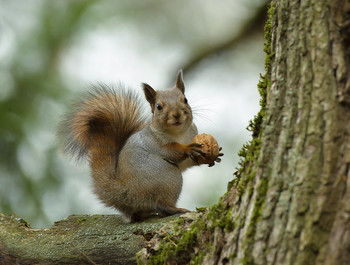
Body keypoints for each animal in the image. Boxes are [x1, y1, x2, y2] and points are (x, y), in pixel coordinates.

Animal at [57, 70, 221, 221]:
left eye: (185, 100)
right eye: (159, 106)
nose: (176, 114)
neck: (179, 133)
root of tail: (127, 194)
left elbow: (189, 162)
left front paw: (212, 155)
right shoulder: (154, 142)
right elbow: (171, 151)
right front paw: (187, 149)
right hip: (167, 176)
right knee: (162, 205)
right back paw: (175, 209)